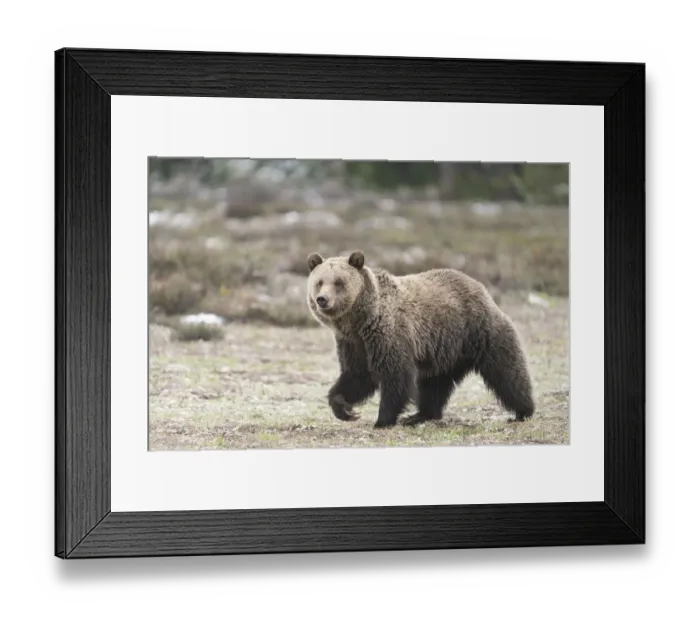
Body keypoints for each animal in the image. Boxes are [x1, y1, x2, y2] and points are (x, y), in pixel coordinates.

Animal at [306, 250, 535, 429]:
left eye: (339, 282)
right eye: (319, 282)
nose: (322, 299)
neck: (360, 320)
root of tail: (480, 287)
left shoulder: (388, 334)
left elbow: (395, 376)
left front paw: (382, 420)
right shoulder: (354, 343)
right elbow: (356, 375)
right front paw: (344, 409)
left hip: (478, 332)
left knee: (506, 371)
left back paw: (523, 410)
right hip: (444, 350)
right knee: (434, 384)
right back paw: (419, 415)